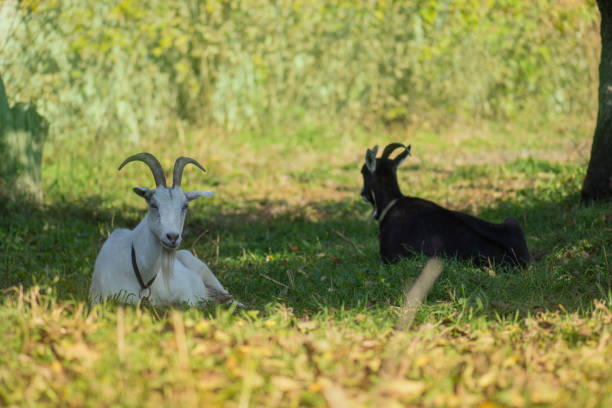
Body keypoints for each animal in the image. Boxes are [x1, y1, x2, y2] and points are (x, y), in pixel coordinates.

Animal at [360, 143, 528, 268]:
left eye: (363, 172)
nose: (362, 193)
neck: (392, 203)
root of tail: (514, 260)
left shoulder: (389, 257)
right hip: (511, 221)